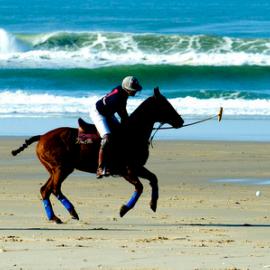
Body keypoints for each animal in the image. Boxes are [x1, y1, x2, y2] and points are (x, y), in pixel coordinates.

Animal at [10, 87, 184, 223]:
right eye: (166, 105)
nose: (181, 121)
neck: (132, 133)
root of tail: (41, 137)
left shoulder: (137, 167)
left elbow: (154, 179)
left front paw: (153, 204)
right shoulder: (126, 170)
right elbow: (140, 187)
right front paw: (123, 209)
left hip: (54, 169)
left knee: (45, 190)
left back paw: (54, 217)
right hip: (62, 168)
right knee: (54, 189)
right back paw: (72, 211)